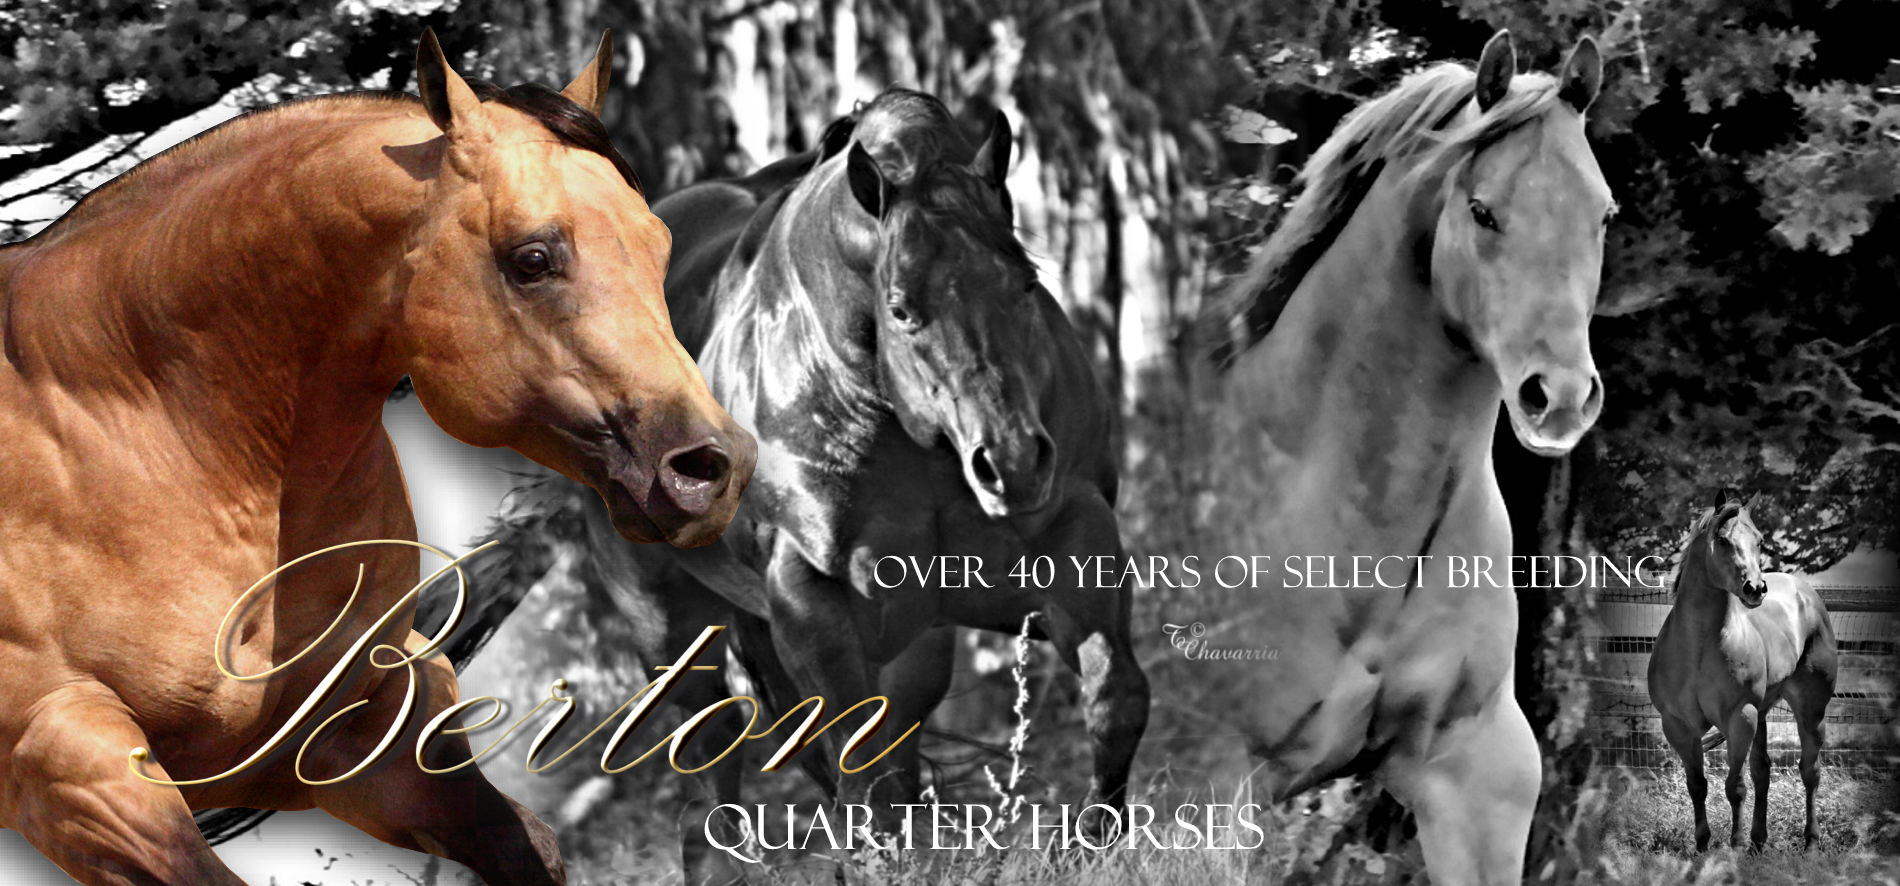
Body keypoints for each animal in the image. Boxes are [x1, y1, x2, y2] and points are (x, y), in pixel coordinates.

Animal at [0, 30, 753, 886]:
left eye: (658, 245)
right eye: (532, 258)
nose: (708, 469)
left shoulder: (372, 733)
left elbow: (527, 844)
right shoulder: (68, 758)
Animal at [437, 88, 1149, 883]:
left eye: (1024, 283)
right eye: (901, 308)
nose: (1016, 462)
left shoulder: (1069, 538)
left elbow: (1114, 694)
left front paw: (1094, 847)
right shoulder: (811, 599)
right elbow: (857, 761)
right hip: (668, 624)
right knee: (711, 766)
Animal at [1647, 497, 1836, 851]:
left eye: (1759, 541)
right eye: (1722, 540)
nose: (1756, 589)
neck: (1698, 648)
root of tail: (1804, 592)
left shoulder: (1739, 717)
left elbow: (1734, 786)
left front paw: (1734, 846)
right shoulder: (1677, 725)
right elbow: (1697, 784)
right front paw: (1703, 845)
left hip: (1810, 711)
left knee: (1809, 772)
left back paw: (1811, 843)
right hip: (1760, 715)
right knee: (1763, 771)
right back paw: (1758, 843)